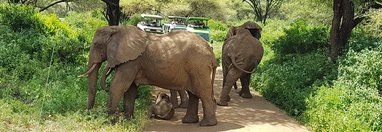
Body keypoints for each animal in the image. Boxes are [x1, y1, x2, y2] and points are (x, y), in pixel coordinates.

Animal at [80, 25, 218, 126]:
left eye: (97, 45)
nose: (88, 115)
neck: (118, 29)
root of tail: (211, 53)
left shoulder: (131, 61)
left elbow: (118, 86)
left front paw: (107, 122)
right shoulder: (132, 62)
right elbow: (131, 89)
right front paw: (128, 121)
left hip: (199, 66)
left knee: (203, 92)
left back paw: (207, 124)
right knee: (194, 94)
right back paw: (189, 122)